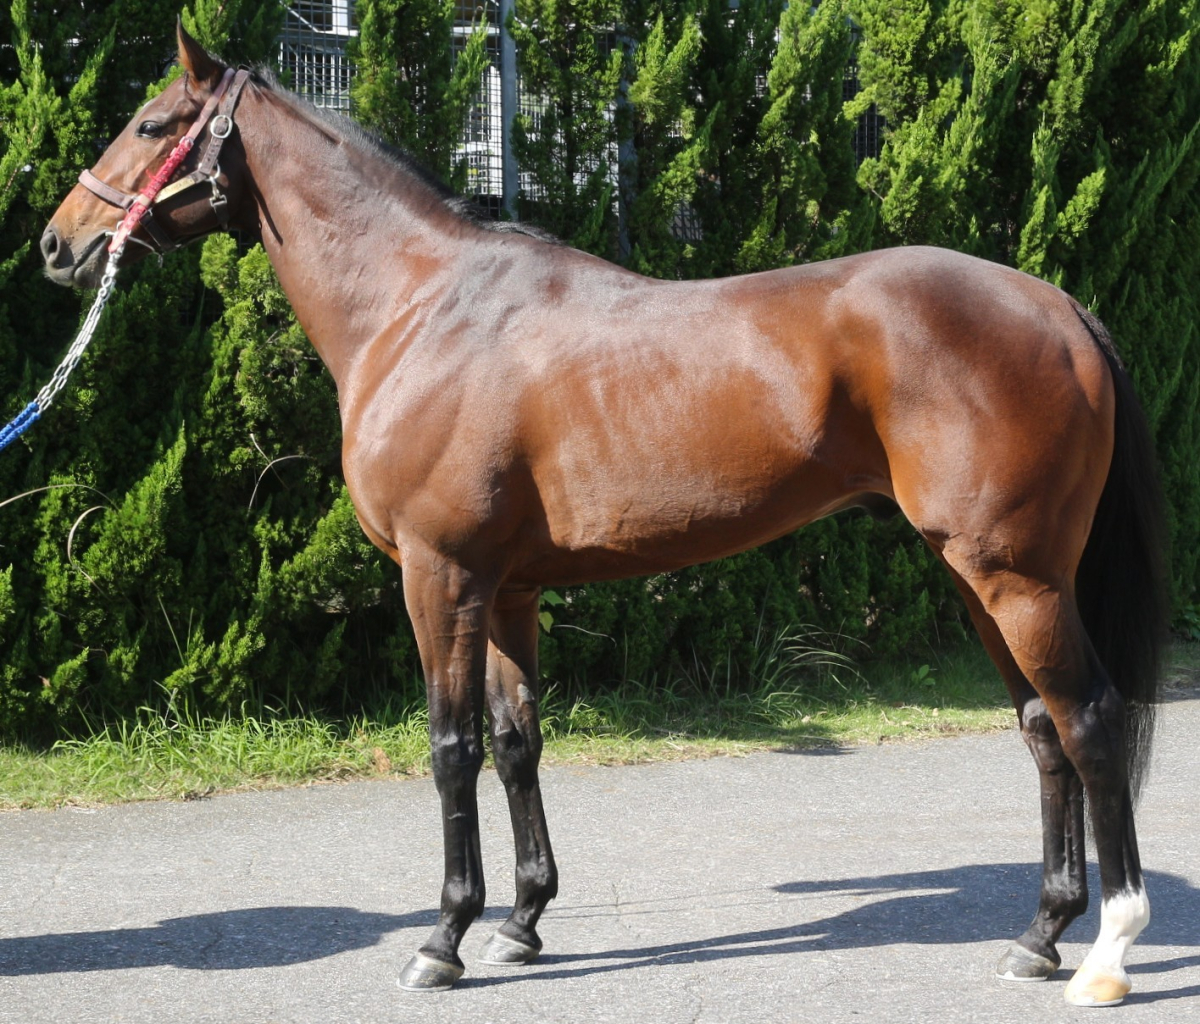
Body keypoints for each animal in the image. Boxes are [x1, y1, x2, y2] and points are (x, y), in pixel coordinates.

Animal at [40, 24, 1166, 1007]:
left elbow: (449, 747)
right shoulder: (507, 590)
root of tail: (1060, 308)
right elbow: (515, 741)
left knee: (1092, 722)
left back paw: (1109, 951)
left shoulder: (439, 574)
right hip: (982, 576)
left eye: (151, 122)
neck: (423, 308)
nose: (60, 244)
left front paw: (443, 937)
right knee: (1043, 730)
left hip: (1016, 578)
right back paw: (1039, 935)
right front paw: (521, 921)